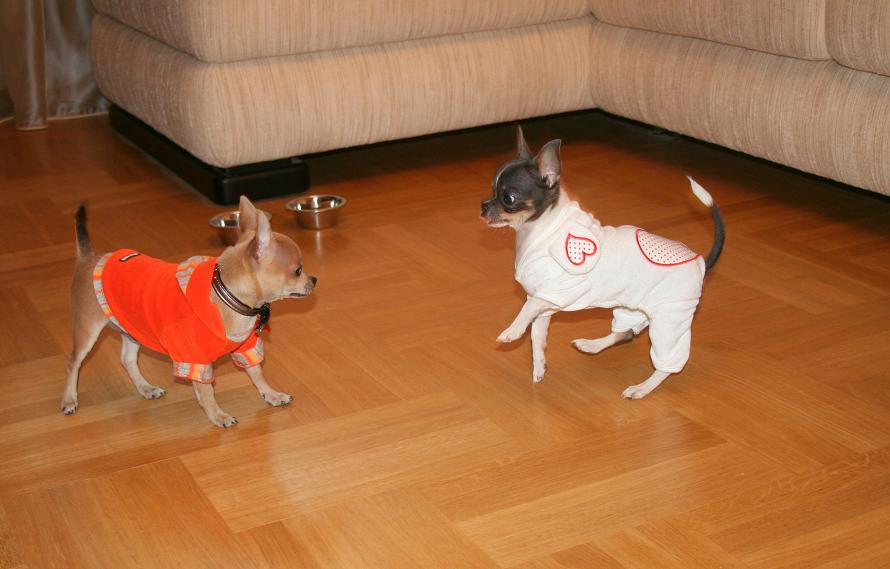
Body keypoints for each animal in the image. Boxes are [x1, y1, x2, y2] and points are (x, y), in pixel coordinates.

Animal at [61, 196, 317, 427]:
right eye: (298, 270)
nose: (313, 280)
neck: (226, 297)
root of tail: (88, 258)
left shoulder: (246, 346)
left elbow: (256, 373)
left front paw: (271, 395)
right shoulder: (195, 358)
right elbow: (207, 391)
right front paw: (218, 416)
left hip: (131, 330)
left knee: (127, 360)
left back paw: (146, 388)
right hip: (87, 331)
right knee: (74, 361)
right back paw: (69, 399)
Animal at [481, 127, 724, 399]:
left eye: (508, 198)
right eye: (492, 189)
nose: (483, 206)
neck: (538, 231)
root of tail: (700, 262)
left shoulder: (555, 292)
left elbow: (526, 309)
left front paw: (512, 331)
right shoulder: (546, 306)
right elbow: (537, 336)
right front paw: (539, 366)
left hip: (669, 320)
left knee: (668, 363)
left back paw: (642, 388)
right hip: (634, 307)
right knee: (626, 333)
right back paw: (593, 345)